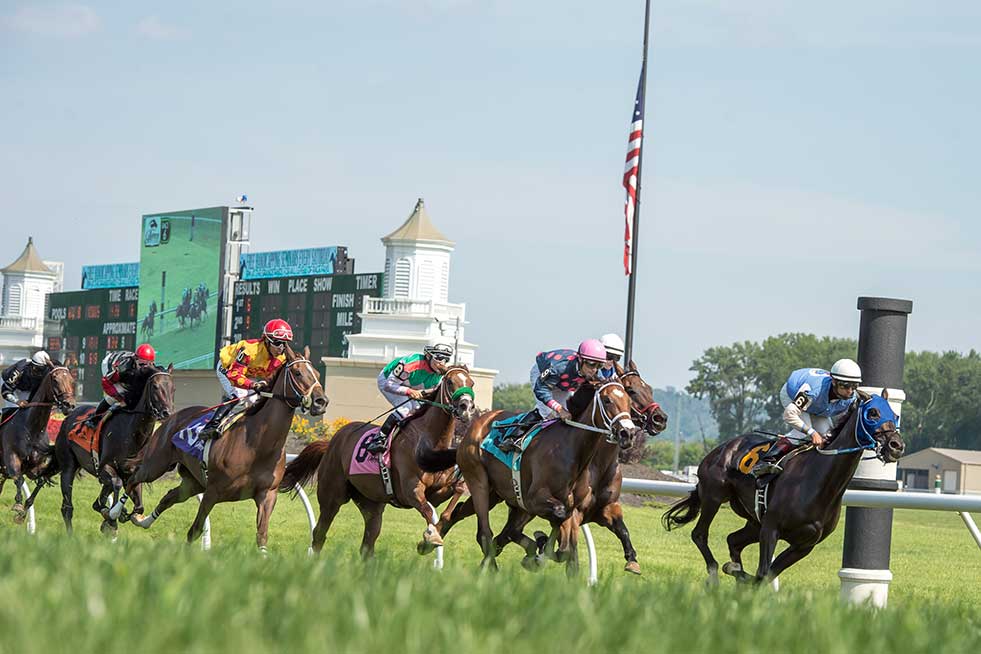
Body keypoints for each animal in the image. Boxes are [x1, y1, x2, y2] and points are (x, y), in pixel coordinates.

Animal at [0, 366, 75, 524]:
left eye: (72, 381)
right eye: (55, 380)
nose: (69, 405)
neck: (32, 429)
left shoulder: (35, 466)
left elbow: (40, 481)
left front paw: (22, 515)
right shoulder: (11, 458)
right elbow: (19, 478)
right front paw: (18, 505)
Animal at [54, 366, 176, 536]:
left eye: (173, 388)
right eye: (155, 387)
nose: (167, 413)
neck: (132, 435)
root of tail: (69, 416)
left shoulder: (132, 474)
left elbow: (139, 506)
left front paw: (121, 515)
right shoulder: (105, 467)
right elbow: (116, 485)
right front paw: (112, 519)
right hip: (68, 466)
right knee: (67, 507)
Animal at [109, 346, 328, 552]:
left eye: (317, 373)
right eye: (298, 373)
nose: (321, 401)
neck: (257, 445)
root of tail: (172, 416)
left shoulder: (267, 495)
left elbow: (262, 537)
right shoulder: (213, 491)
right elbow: (195, 530)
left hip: (193, 481)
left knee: (168, 496)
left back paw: (142, 521)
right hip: (156, 464)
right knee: (134, 477)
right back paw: (114, 514)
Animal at [278, 364, 476, 560]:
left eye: (471, 383)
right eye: (450, 382)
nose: (466, 407)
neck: (431, 442)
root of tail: (332, 442)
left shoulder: (437, 492)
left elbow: (453, 495)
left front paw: (431, 537)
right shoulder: (410, 491)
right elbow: (427, 510)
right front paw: (430, 538)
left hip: (371, 503)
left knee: (368, 544)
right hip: (332, 495)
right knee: (320, 532)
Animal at [664, 392, 908, 588]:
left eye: (894, 415)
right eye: (873, 413)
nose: (896, 446)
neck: (818, 483)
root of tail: (720, 448)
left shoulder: (805, 544)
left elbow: (766, 575)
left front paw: (739, 575)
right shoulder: (771, 528)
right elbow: (762, 573)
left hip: (754, 521)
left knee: (733, 540)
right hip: (714, 496)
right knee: (699, 534)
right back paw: (715, 573)